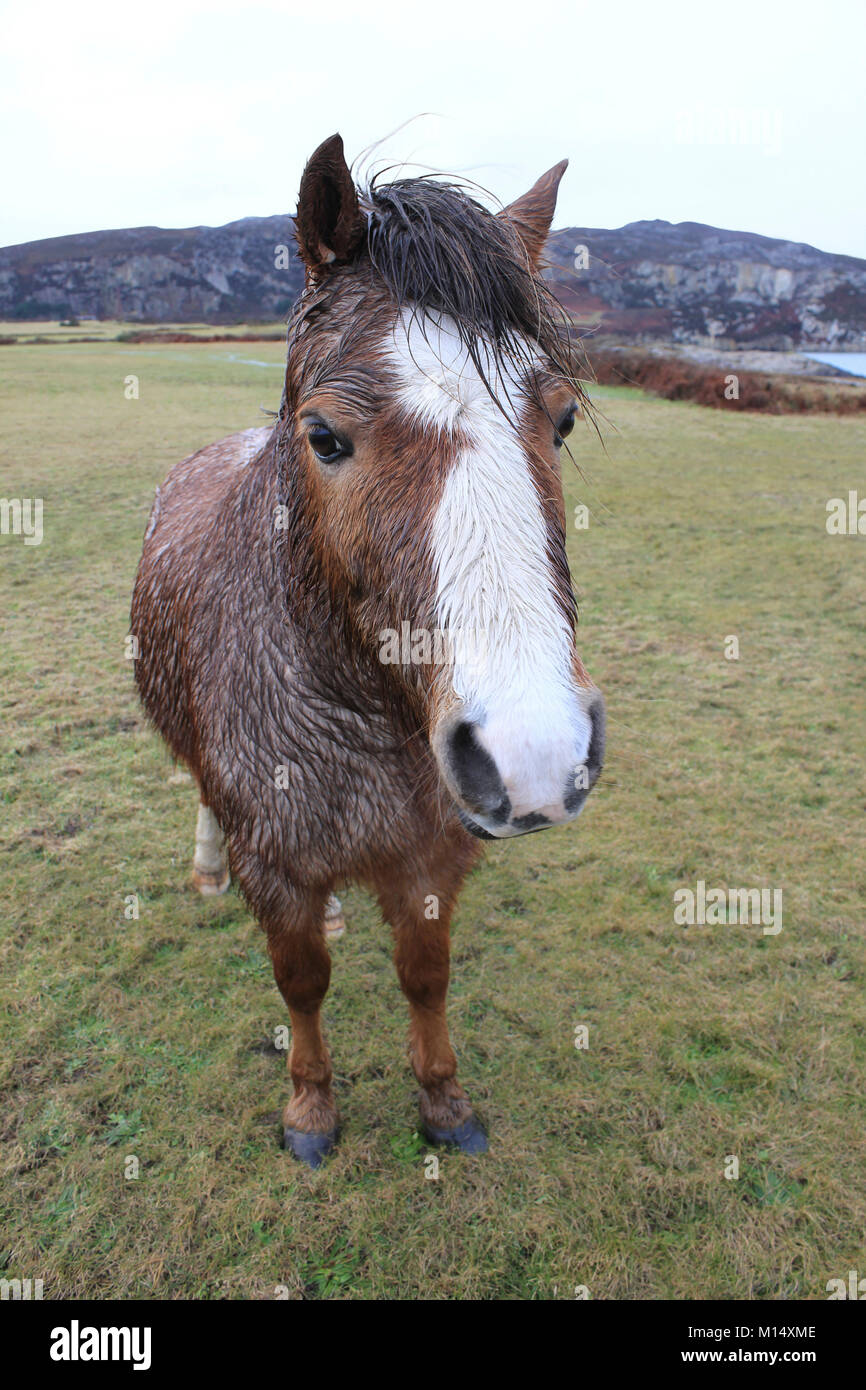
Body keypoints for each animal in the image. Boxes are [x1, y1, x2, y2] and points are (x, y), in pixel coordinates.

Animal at [132, 135, 606, 1167]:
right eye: (323, 435)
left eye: (561, 420)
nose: (535, 751)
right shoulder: (274, 864)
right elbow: (301, 982)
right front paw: (311, 1109)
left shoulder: (430, 855)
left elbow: (425, 976)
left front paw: (443, 1100)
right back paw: (205, 871)